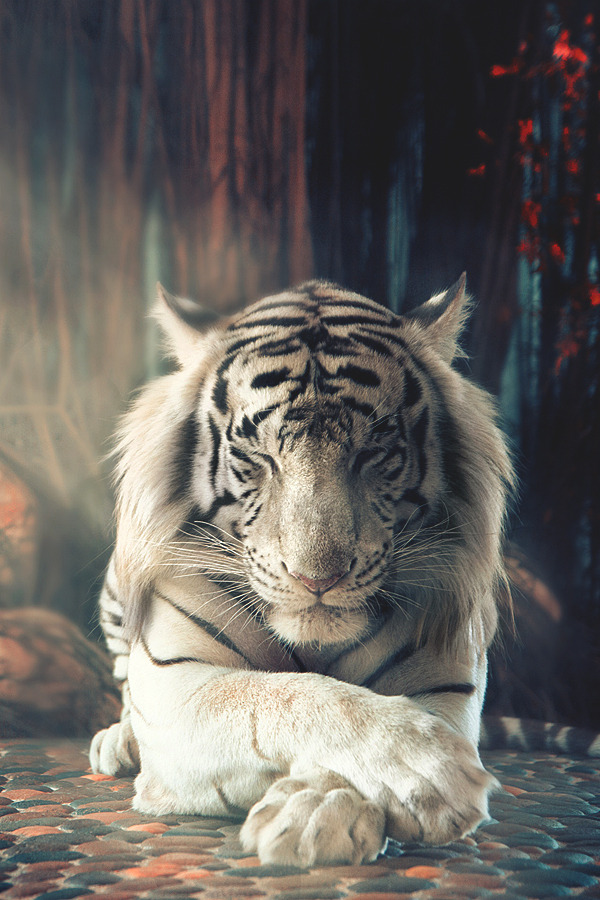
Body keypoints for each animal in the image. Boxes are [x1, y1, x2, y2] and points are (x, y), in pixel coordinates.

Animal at [90, 275, 516, 867]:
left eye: (373, 452)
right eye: (257, 456)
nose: (317, 579)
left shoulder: (446, 682)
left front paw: (318, 811)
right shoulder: (179, 684)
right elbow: (287, 695)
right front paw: (426, 769)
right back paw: (118, 740)